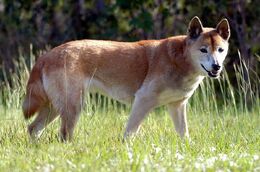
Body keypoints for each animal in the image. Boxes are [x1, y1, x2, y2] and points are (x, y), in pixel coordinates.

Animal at [22, 16, 230, 140]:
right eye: (203, 50)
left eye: (220, 50)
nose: (216, 66)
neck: (180, 60)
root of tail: (46, 56)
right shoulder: (143, 100)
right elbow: (130, 132)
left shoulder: (177, 106)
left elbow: (184, 134)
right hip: (72, 105)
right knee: (64, 134)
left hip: (54, 107)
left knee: (33, 128)